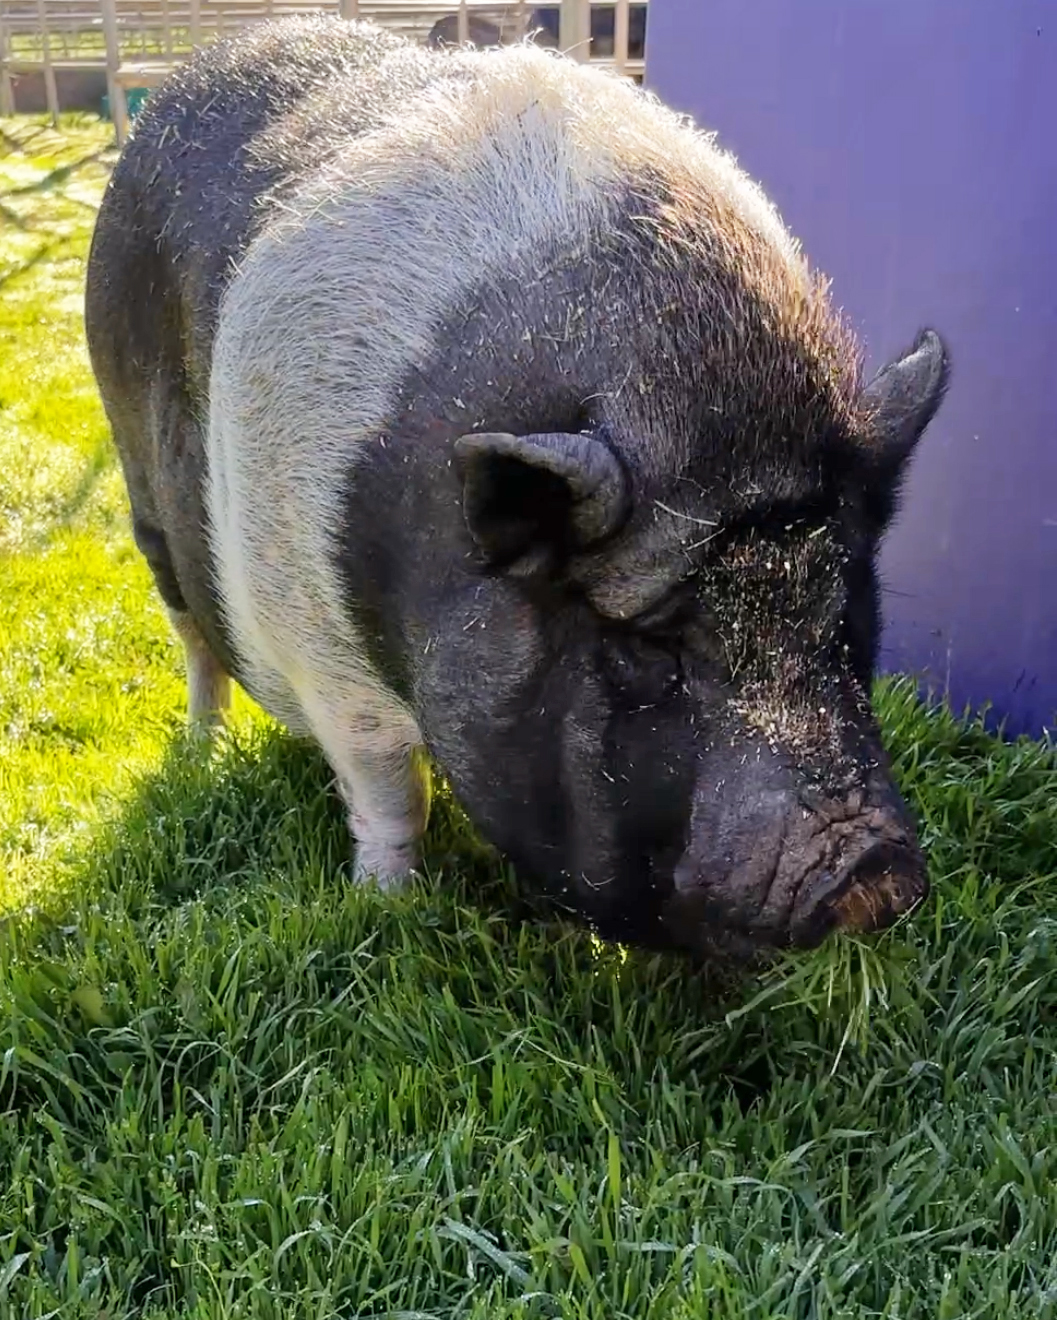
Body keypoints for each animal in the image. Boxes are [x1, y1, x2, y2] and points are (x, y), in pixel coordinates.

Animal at [84, 15, 950, 960]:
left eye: (845, 616)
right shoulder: (320, 652)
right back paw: (198, 754)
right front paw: (387, 904)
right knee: (194, 640)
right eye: (648, 648)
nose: (875, 875)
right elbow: (388, 791)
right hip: (140, 495)